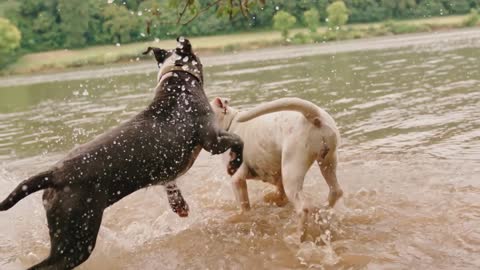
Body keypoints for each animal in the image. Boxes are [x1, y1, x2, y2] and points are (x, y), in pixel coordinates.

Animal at [210, 97, 342, 240]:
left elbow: (244, 206)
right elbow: (279, 194)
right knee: (335, 191)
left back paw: (299, 236)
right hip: (328, 161)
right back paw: (324, 212)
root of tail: (314, 116)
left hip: (292, 170)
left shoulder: (237, 179)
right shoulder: (278, 178)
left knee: (303, 208)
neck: (230, 122)